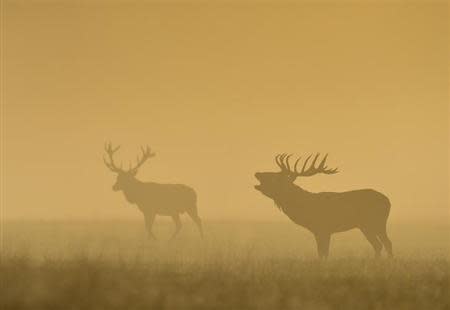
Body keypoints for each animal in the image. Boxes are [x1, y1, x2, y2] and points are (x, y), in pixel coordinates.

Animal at [255, 154, 392, 258]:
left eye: (275, 177)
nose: (257, 173)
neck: (304, 206)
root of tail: (388, 201)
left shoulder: (323, 228)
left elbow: (323, 253)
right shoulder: (319, 231)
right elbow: (322, 252)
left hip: (376, 222)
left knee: (386, 243)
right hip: (365, 226)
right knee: (379, 245)